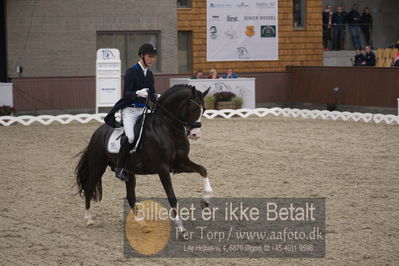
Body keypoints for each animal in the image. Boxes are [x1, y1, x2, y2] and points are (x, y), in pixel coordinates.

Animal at [74, 85, 212, 233]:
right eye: (193, 108)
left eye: (204, 109)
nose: (195, 134)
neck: (168, 129)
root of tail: (97, 132)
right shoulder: (163, 169)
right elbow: (172, 197)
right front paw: (181, 229)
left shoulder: (180, 164)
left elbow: (203, 170)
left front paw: (206, 201)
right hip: (98, 166)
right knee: (89, 188)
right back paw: (89, 219)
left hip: (128, 172)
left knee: (130, 196)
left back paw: (142, 224)